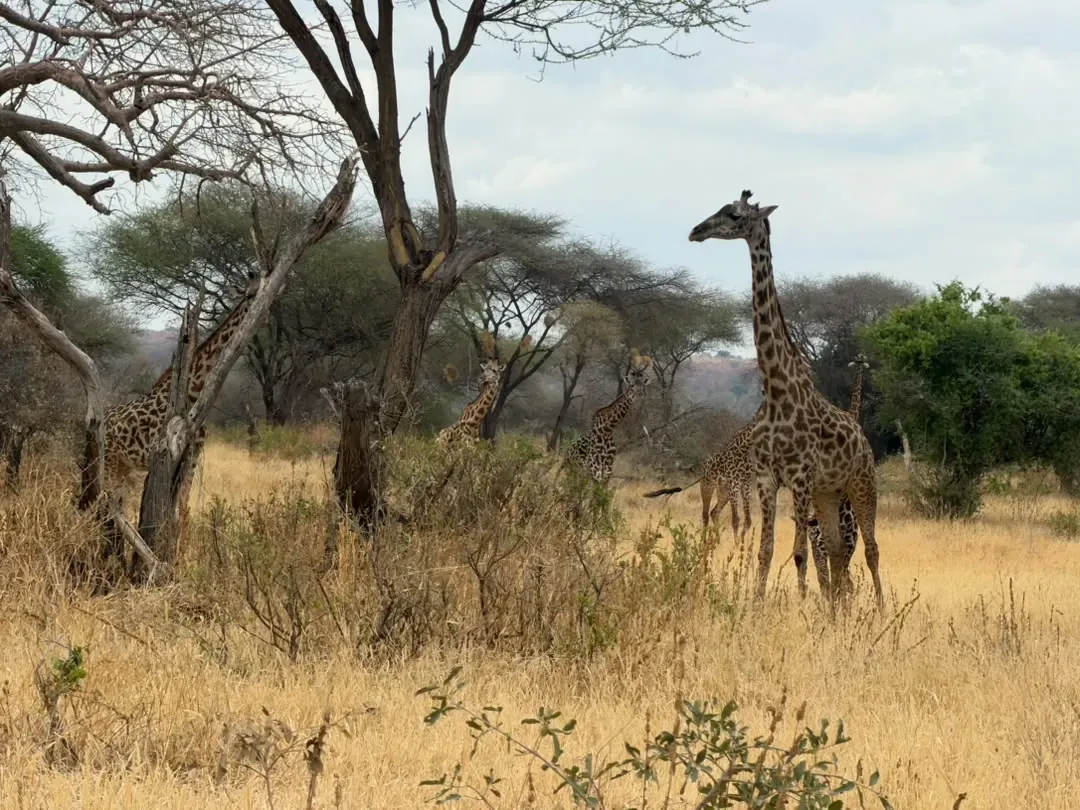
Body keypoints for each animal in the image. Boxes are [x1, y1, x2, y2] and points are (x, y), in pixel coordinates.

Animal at [566, 353, 652, 483]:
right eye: (631, 385)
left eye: (642, 385)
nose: (639, 394)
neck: (606, 430)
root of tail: (568, 449)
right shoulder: (594, 467)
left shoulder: (608, 468)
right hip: (574, 469)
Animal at [688, 191, 883, 609]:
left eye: (735, 214)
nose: (696, 231)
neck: (776, 390)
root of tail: (863, 439)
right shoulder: (767, 478)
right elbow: (766, 551)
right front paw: (756, 608)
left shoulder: (800, 477)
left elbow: (798, 554)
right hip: (829, 493)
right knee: (838, 551)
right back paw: (838, 612)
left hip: (861, 485)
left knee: (871, 550)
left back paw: (880, 610)